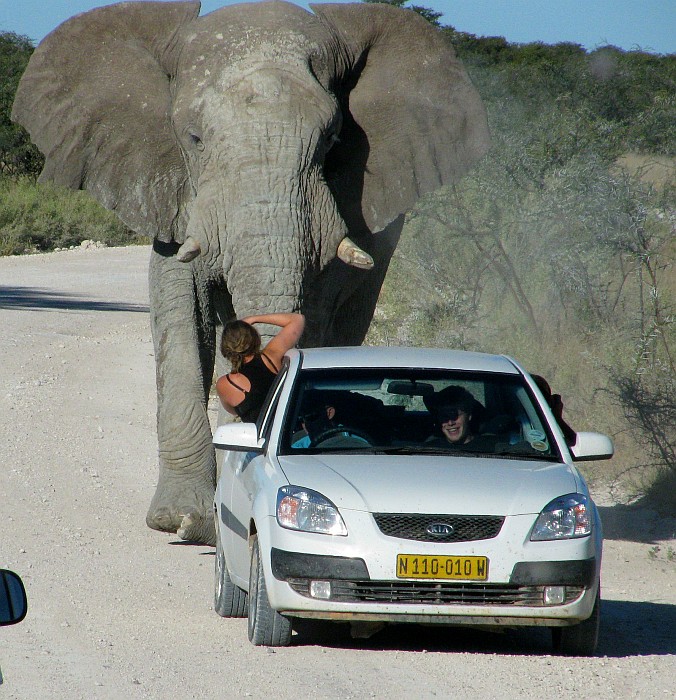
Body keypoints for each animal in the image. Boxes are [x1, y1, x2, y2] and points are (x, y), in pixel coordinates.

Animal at [10, 1, 486, 548]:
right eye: (193, 138)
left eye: (332, 140)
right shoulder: (171, 187)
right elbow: (179, 304)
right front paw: (180, 519)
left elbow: (309, 316)